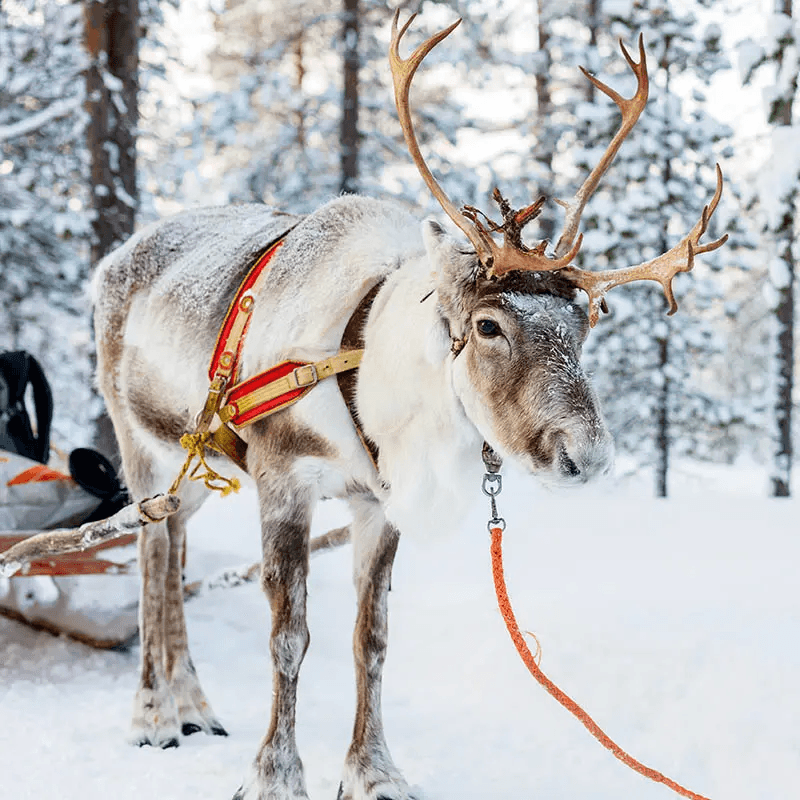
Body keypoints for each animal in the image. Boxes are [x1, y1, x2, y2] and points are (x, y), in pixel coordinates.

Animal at [90, 12, 726, 800]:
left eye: (583, 324)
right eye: (488, 325)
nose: (587, 456)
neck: (364, 373)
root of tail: (113, 261)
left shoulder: (377, 502)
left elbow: (372, 640)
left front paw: (374, 772)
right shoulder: (282, 479)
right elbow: (289, 637)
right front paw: (274, 776)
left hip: (201, 465)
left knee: (175, 545)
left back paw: (194, 706)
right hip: (139, 441)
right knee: (150, 555)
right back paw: (152, 716)